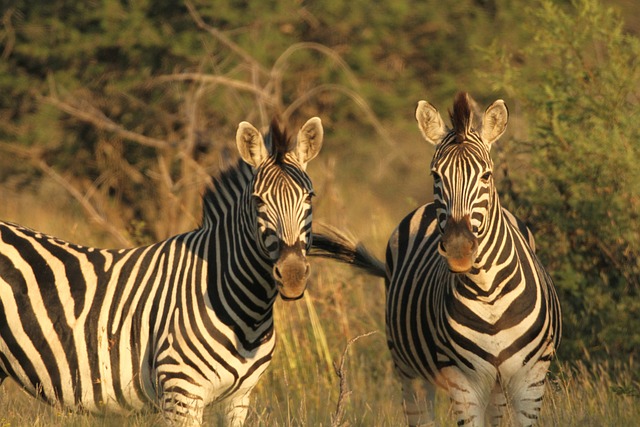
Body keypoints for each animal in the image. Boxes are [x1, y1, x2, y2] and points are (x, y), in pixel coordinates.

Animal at [312, 94, 564, 427]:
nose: (458, 248)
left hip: (495, 384)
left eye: (487, 175)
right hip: (409, 369)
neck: (488, 294)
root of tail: (424, 207)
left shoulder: (530, 378)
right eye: (436, 175)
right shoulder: (462, 381)